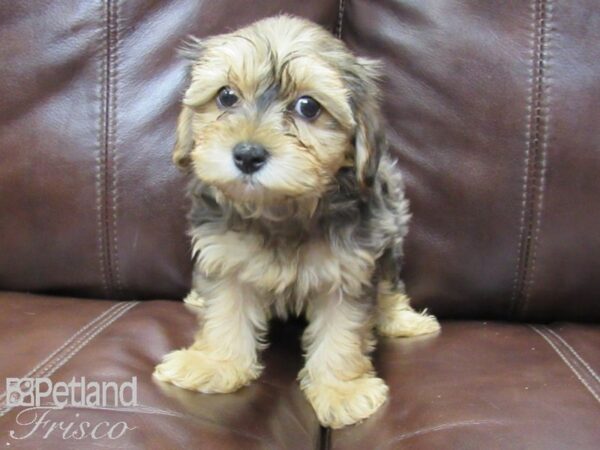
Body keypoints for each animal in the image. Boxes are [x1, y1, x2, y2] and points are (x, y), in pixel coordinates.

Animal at [152, 14, 438, 428]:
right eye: (226, 96)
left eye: (308, 106)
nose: (248, 154)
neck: (281, 209)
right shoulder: (226, 258)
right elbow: (225, 312)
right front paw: (215, 364)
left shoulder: (350, 270)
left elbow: (342, 332)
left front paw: (341, 390)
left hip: (391, 231)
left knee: (390, 284)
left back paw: (401, 319)